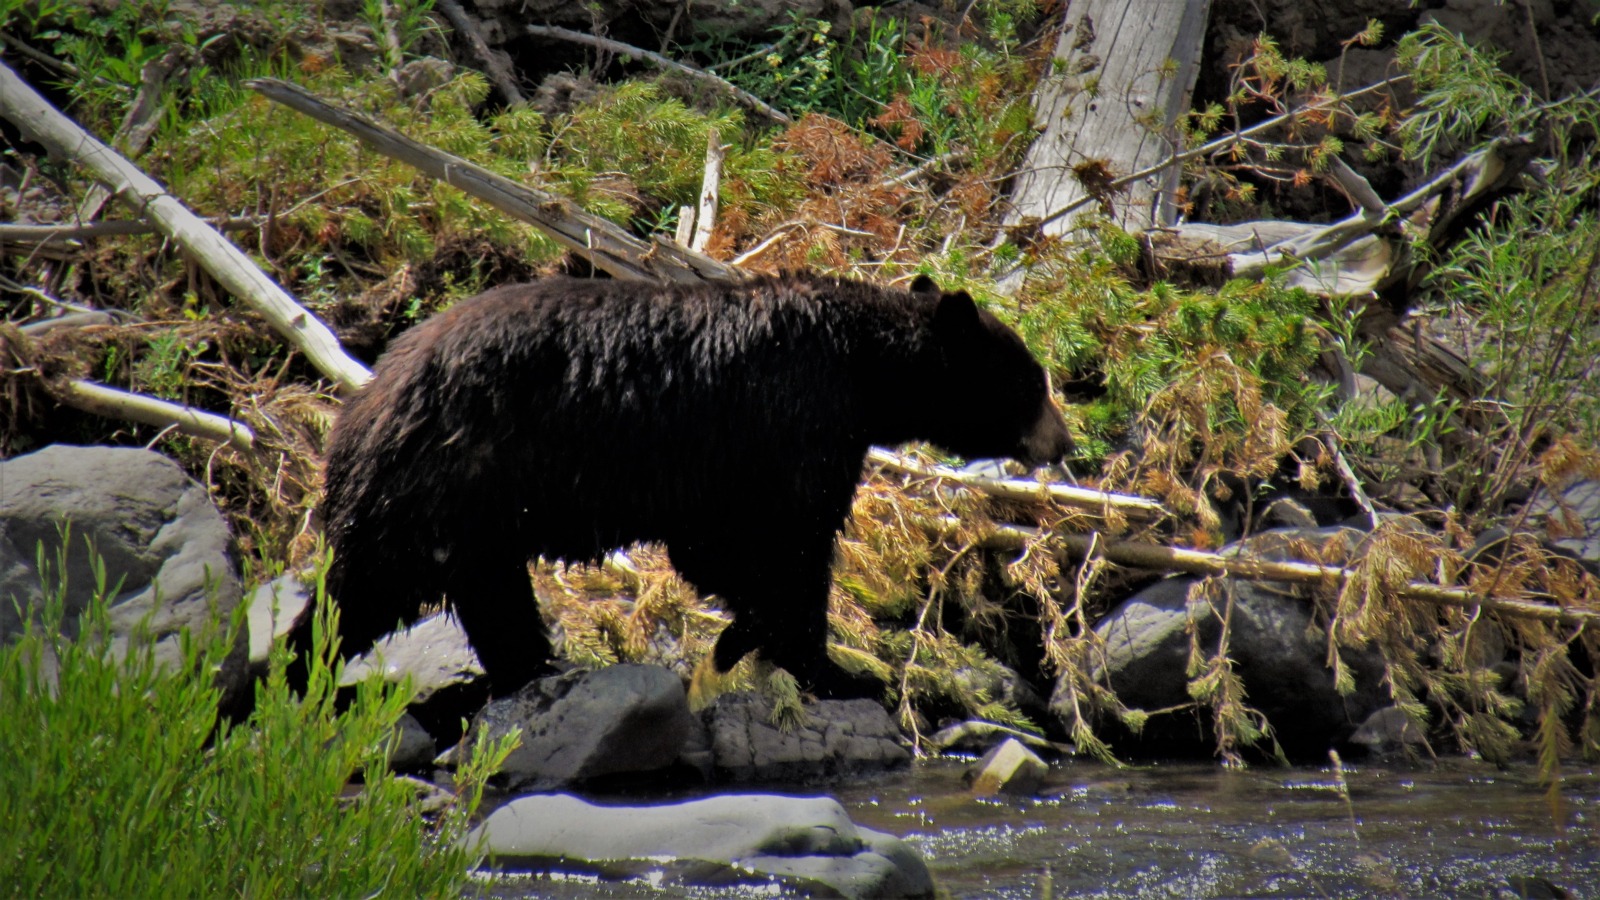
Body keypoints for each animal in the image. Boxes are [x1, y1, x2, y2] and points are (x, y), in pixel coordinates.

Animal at [300, 269, 1075, 698]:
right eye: (1034, 382)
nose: (1065, 442)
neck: (862, 366)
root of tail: (361, 404)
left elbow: (725, 549)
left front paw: (751, 643)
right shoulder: (790, 422)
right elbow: (786, 543)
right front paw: (828, 667)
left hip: (469, 515)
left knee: (491, 594)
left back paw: (537, 669)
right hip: (438, 485)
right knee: (360, 595)